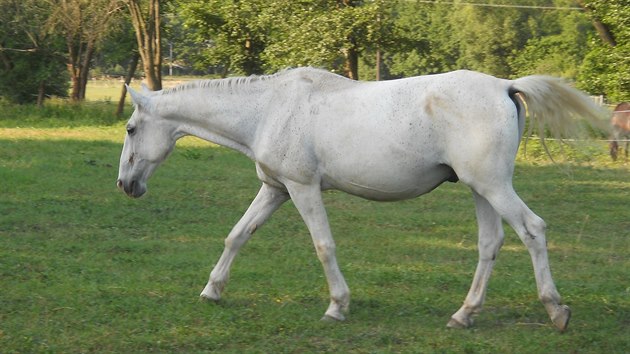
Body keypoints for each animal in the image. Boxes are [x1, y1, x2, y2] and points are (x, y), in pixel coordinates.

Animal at [116, 68, 604, 330]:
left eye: (131, 129)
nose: (125, 185)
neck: (268, 108)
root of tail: (504, 85)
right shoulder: (276, 189)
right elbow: (237, 236)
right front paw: (212, 291)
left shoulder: (302, 189)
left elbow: (323, 246)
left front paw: (337, 307)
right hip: (480, 188)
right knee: (491, 244)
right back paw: (463, 315)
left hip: (494, 187)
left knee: (533, 230)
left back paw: (556, 310)